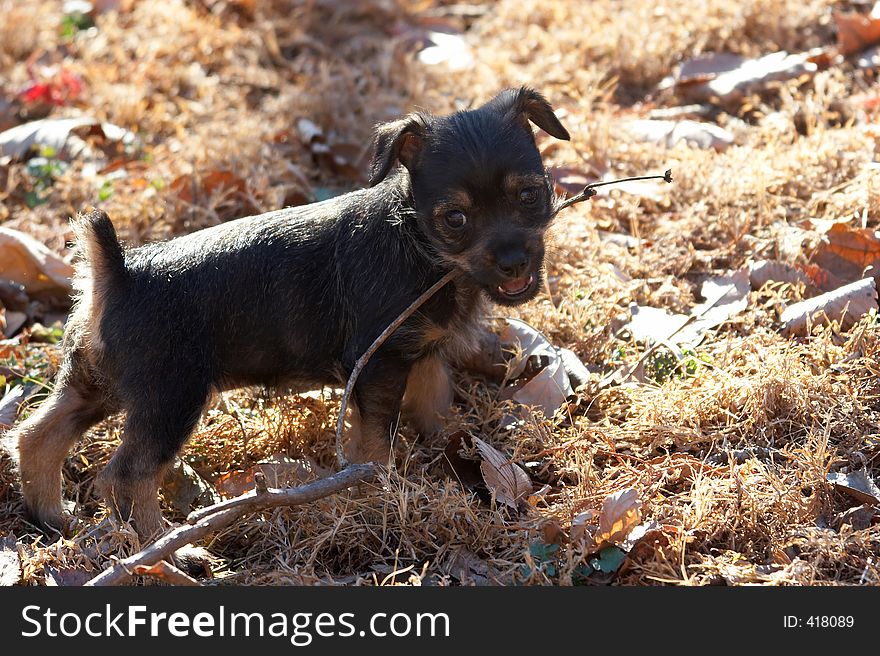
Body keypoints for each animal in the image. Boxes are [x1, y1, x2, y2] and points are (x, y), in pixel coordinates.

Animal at [6, 84, 572, 540]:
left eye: (530, 194)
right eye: (456, 219)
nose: (515, 261)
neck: (419, 244)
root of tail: (119, 273)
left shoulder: (423, 356)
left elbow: (435, 411)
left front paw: (453, 456)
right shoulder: (381, 364)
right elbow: (375, 448)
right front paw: (382, 494)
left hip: (94, 383)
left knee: (37, 437)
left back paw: (53, 519)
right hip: (171, 397)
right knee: (127, 476)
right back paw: (166, 551)